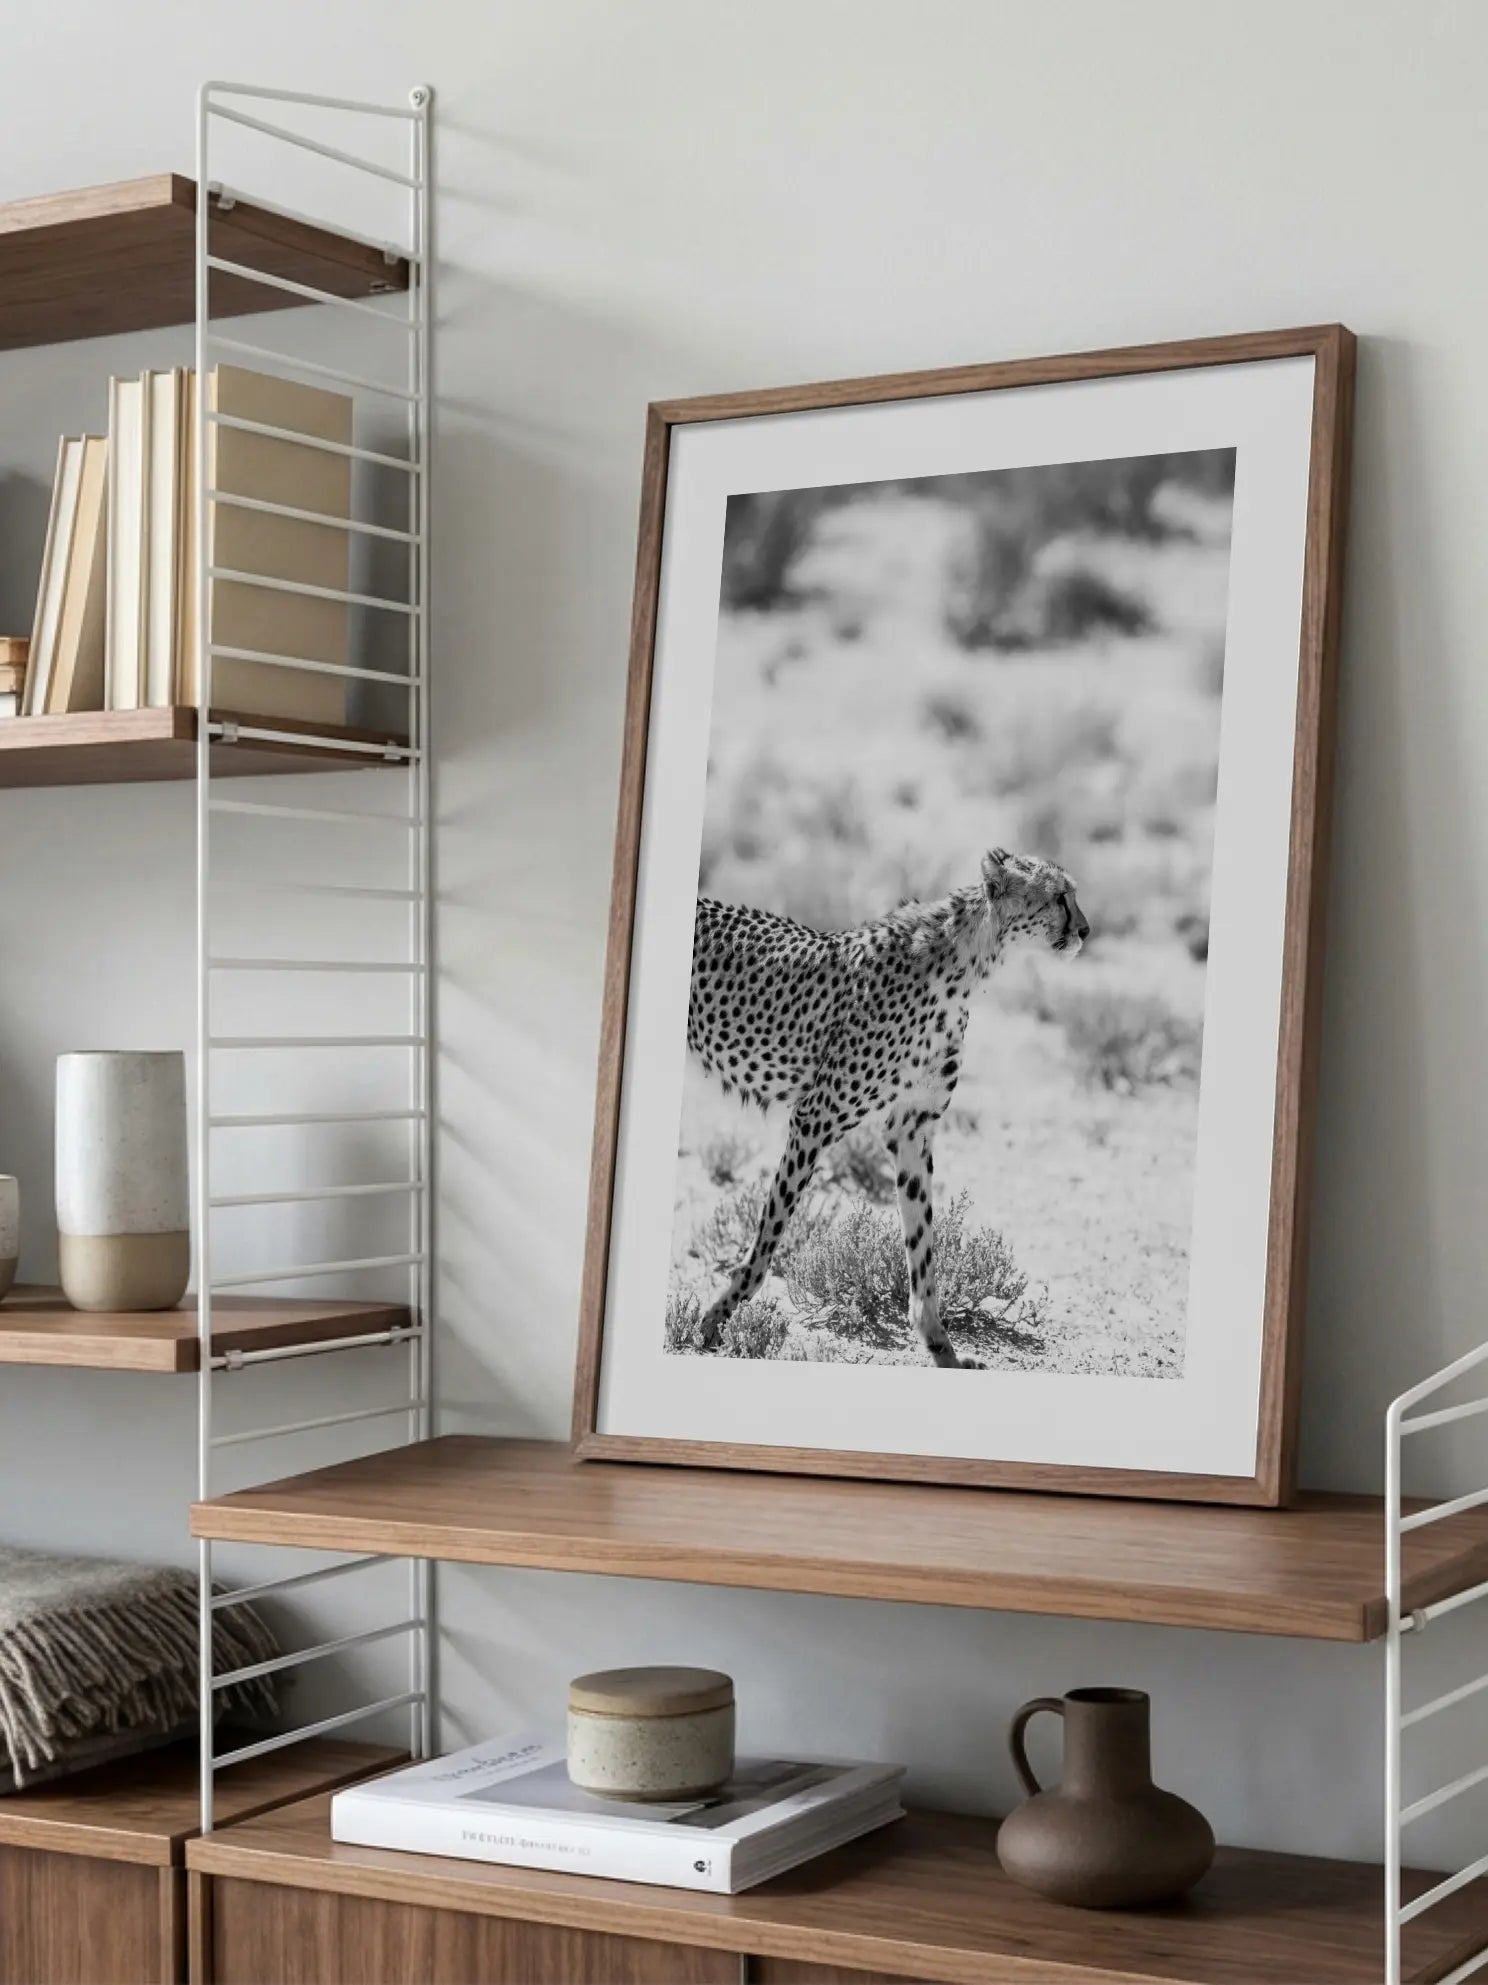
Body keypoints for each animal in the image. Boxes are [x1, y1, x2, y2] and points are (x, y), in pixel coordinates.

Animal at [686, 847, 1089, 1368]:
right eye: (1060, 896)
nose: (1086, 930)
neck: (965, 965)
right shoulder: (815, 1117)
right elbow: (772, 1229)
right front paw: (718, 1316)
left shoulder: (912, 1128)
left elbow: (922, 1241)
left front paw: (941, 1347)